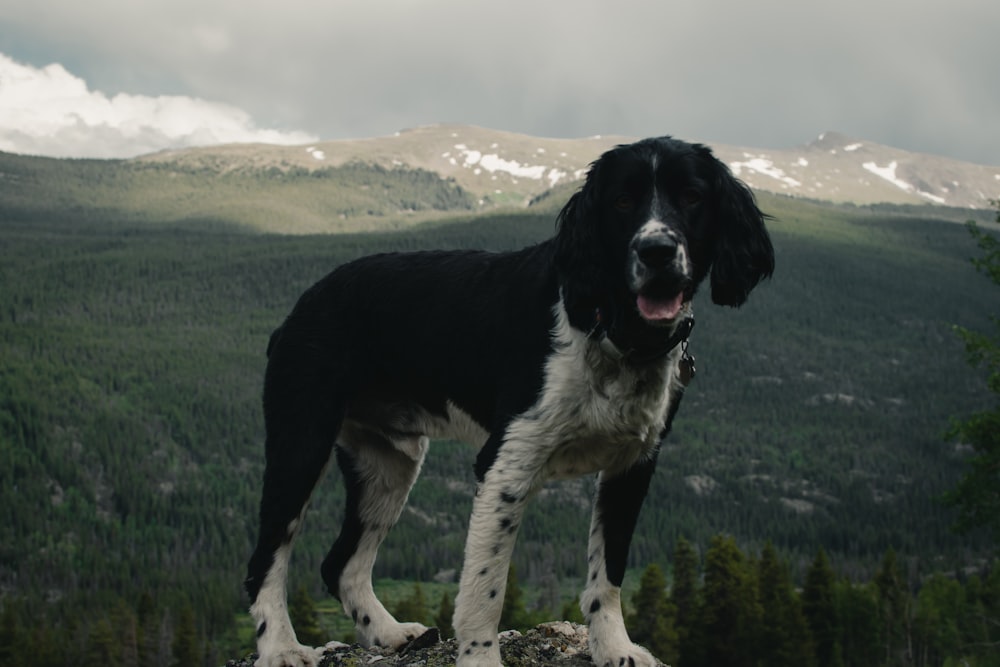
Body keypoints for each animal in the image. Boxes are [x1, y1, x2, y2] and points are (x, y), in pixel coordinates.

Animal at [242, 137, 772, 667]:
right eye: (622, 201)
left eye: (692, 197)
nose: (656, 250)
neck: (607, 324)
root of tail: (298, 310)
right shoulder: (506, 464)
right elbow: (485, 588)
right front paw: (481, 656)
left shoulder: (634, 464)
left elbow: (609, 573)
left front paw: (614, 648)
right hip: (302, 441)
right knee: (266, 557)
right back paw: (281, 646)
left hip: (389, 461)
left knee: (341, 564)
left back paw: (389, 632)